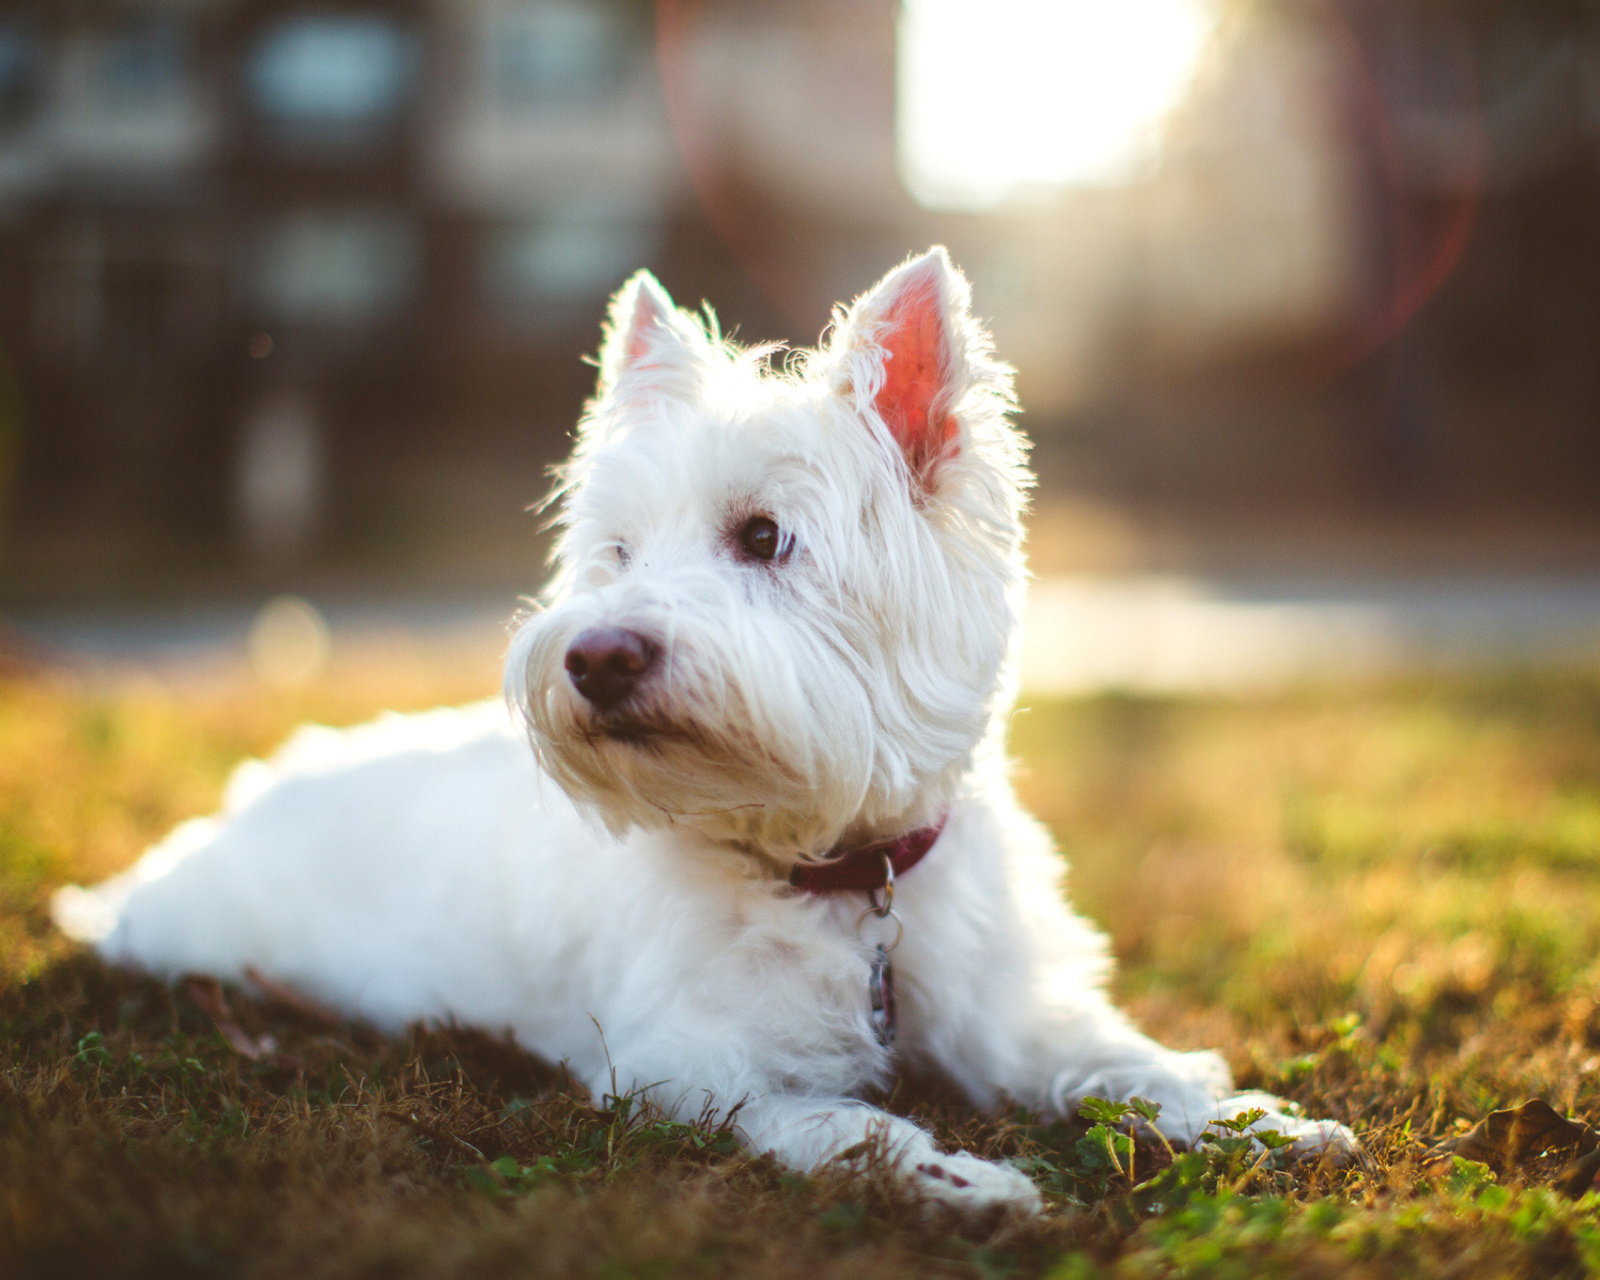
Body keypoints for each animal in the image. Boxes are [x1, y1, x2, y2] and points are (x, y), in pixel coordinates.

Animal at [53, 248, 1350, 1209]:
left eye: (763, 536)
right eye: (617, 551)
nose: (594, 656)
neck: (837, 874)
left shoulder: (1012, 1013)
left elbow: (1125, 1061)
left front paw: (1257, 1119)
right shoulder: (688, 1065)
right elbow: (842, 1119)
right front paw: (961, 1177)